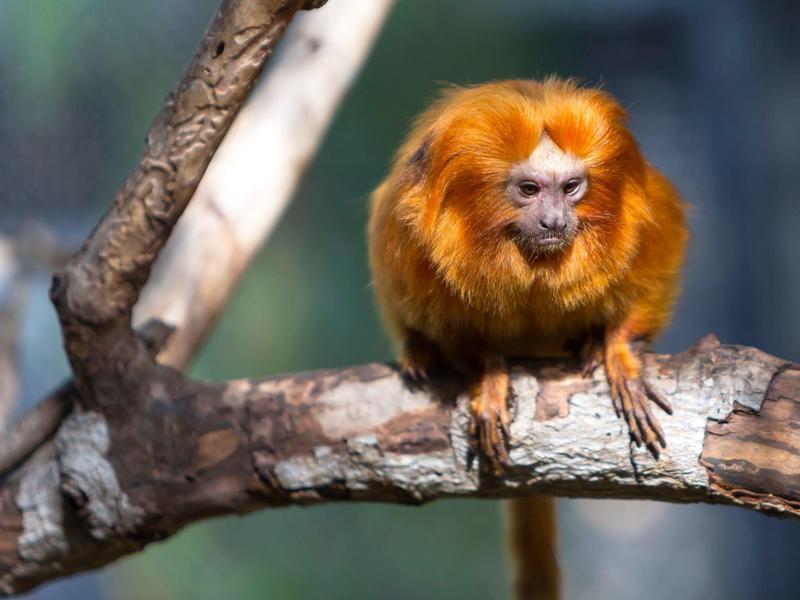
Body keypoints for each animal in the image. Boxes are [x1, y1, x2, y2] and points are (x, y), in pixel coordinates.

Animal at [367, 78, 688, 599]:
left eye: (571, 187)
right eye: (530, 189)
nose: (555, 221)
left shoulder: (640, 204)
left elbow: (656, 256)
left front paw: (619, 353)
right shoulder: (412, 234)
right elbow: (451, 327)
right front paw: (490, 378)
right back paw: (418, 351)